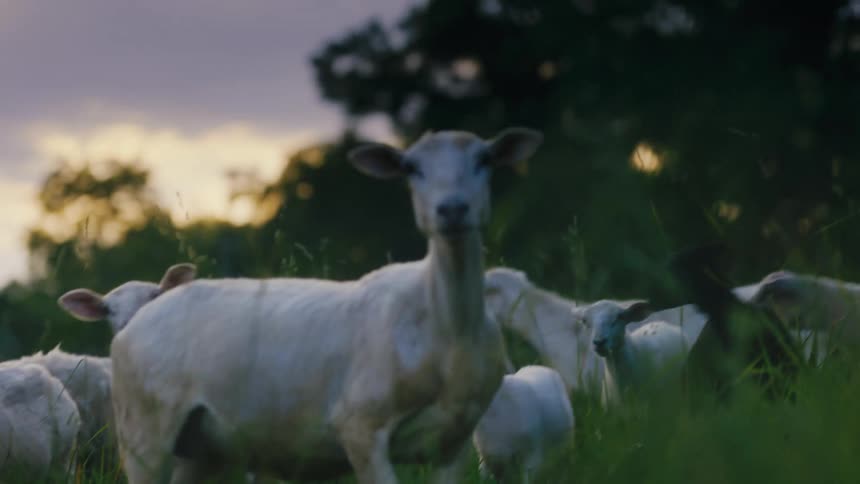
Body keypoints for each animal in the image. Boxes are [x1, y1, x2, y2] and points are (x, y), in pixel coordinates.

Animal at [109, 128, 543, 484]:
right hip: (143, 435)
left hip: (203, 447)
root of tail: (138, 318)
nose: (452, 210)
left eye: (484, 160)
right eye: (411, 167)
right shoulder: (360, 428)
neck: (448, 329)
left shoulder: (453, 442)